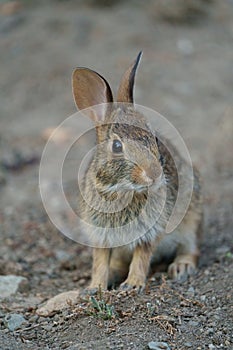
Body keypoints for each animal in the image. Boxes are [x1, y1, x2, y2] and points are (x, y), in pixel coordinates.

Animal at [72, 52, 203, 292]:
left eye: (155, 138)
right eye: (117, 146)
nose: (155, 175)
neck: (121, 190)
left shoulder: (151, 230)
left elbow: (141, 257)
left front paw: (132, 285)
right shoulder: (101, 235)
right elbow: (100, 261)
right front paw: (95, 287)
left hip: (191, 219)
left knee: (192, 248)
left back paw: (182, 267)